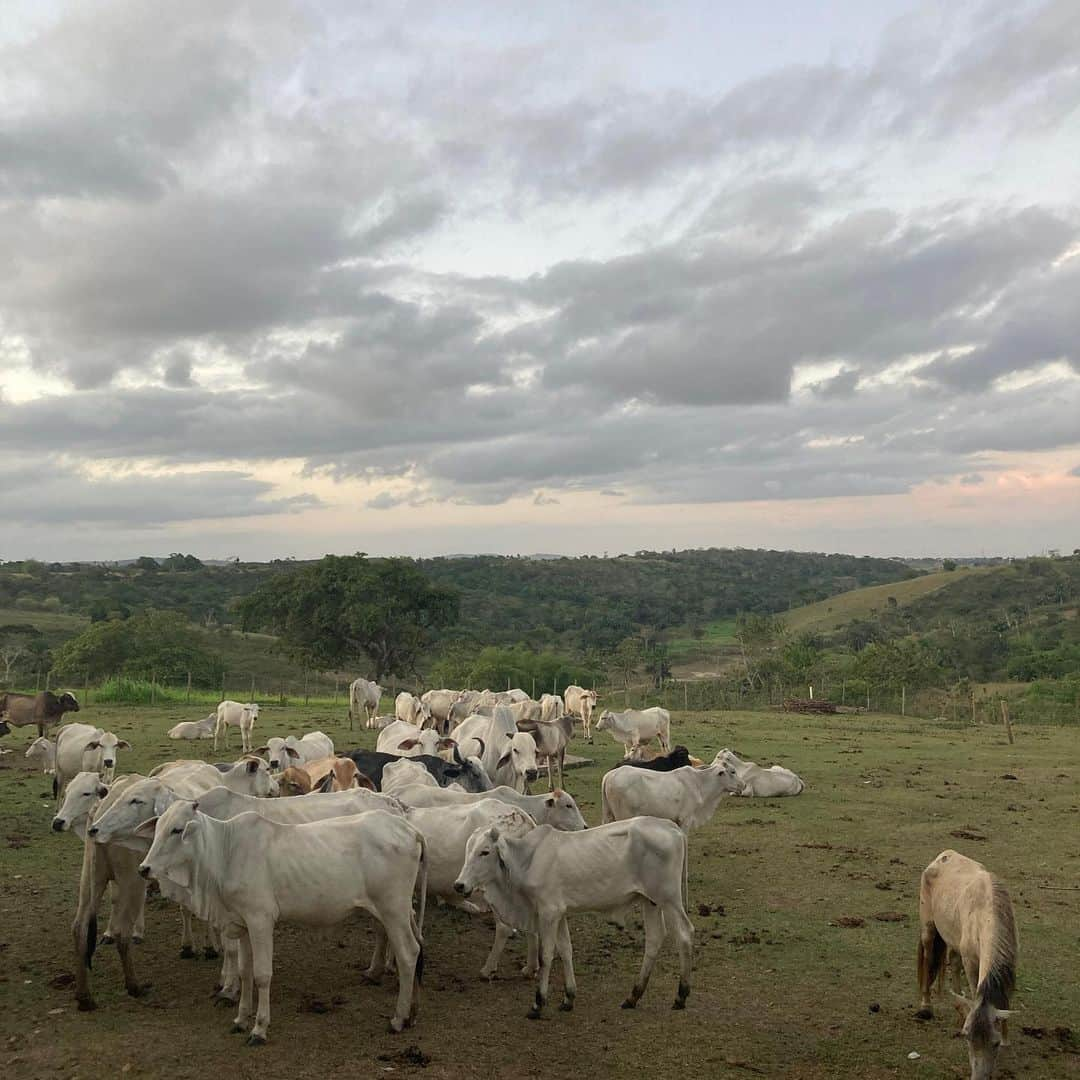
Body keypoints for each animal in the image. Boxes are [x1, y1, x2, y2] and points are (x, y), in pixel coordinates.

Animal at [141, 807, 427, 1041]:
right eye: (157, 828)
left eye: (177, 830)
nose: (144, 868)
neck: (225, 851)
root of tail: (408, 828)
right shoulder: (242, 923)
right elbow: (244, 971)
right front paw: (241, 1019)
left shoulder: (260, 920)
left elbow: (262, 975)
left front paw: (259, 1028)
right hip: (398, 911)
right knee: (417, 945)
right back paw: (412, 1011)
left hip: (393, 909)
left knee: (408, 953)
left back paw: (399, 1018)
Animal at [453, 816, 691, 1019]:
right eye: (467, 850)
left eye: (484, 852)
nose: (459, 885)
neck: (527, 859)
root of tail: (672, 828)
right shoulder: (560, 914)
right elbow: (566, 950)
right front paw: (568, 998)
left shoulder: (548, 912)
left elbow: (546, 955)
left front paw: (538, 1003)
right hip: (650, 901)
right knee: (654, 939)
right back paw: (633, 996)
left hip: (669, 898)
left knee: (684, 933)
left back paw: (681, 995)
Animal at [915, 851, 1015, 1080]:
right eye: (968, 1039)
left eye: (995, 1043)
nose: (979, 1077)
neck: (986, 913)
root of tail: (942, 856)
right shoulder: (971, 962)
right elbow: (973, 989)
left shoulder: (1008, 966)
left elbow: (1004, 1001)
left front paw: (1007, 1039)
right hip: (928, 929)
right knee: (928, 957)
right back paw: (926, 1005)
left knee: (953, 962)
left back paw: (960, 1010)